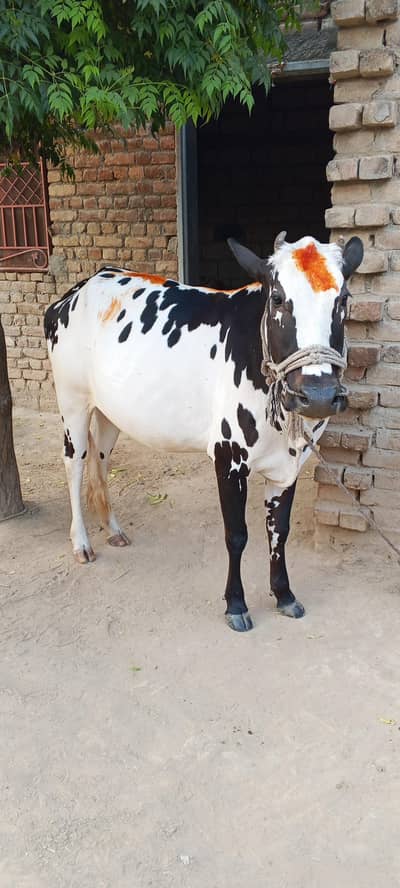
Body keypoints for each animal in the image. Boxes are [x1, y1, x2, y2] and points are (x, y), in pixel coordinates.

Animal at [44, 232, 363, 631]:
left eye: (343, 299)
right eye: (277, 298)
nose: (318, 394)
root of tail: (80, 289)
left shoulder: (290, 465)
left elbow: (279, 531)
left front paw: (284, 595)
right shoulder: (229, 457)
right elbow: (237, 535)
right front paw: (236, 604)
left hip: (109, 412)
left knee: (100, 462)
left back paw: (113, 529)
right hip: (71, 400)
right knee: (74, 464)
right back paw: (81, 543)